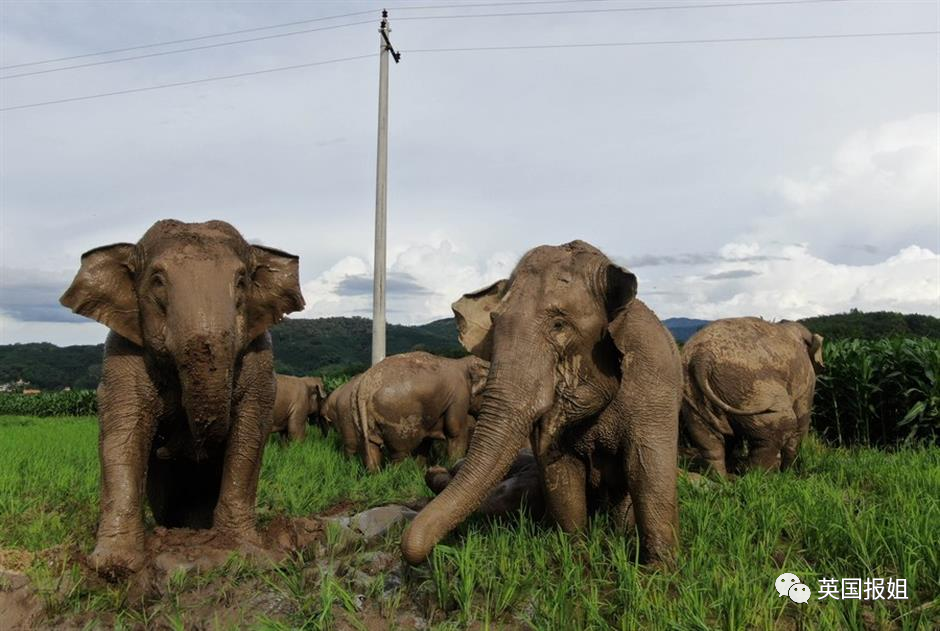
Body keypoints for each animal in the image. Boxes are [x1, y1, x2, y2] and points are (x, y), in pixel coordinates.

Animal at [57, 218, 304, 576]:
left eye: (242, 281)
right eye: (157, 281)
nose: (168, 446)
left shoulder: (260, 358)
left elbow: (249, 436)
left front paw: (245, 551)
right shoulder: (121, 353)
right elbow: (122, 435)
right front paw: (114, 565)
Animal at [348, 354, 488, 472]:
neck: (463, 362)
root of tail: (363, 388)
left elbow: (425, 440)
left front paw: (420, 471)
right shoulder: (459, 396)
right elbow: (455, 430)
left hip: (359, 416)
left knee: (372, 446)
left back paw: (374, 475)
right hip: (396, 420)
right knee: (400, 453)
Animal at [398, 243, 684, 568]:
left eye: (559, 325)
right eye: (494, 323)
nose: (414, 554)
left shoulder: (654, 379)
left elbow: (647, 468)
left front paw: (658, 571)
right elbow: (560, 471)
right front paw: (575, 555)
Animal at [680, 318, 828, 476]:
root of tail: (701, 358)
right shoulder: (806, 380)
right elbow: (802, 420)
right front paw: (790, 473)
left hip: (694, 392)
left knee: (708, 438)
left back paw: (723, 478)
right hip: (750, 387)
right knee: (782, 424)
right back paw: (759, 477)